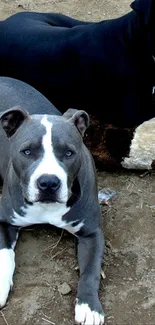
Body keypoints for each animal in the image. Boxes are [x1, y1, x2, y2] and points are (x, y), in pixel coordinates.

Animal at [0, 76, 104, 324]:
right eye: (27, 152)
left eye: (69, 153)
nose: (48, 183)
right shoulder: (4, 221)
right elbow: (4, 255)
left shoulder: (92, 233)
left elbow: (90, 271)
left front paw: (89, 306)